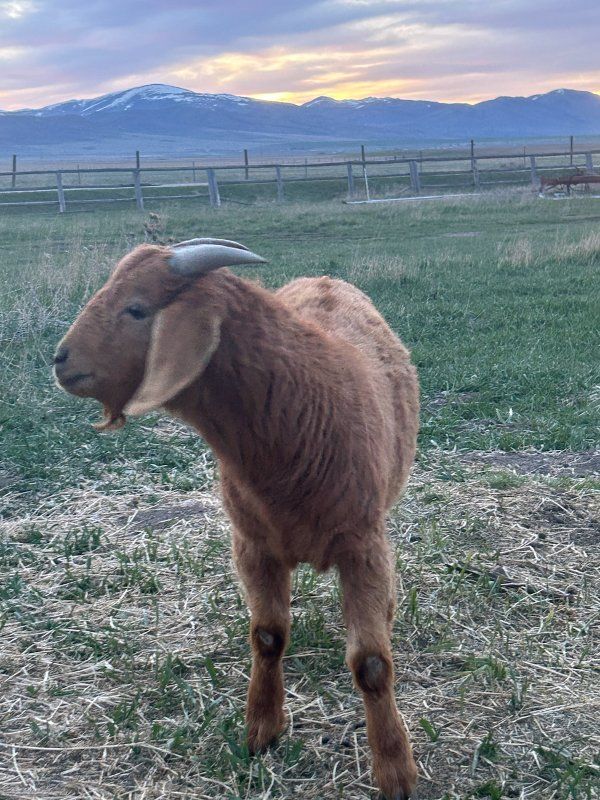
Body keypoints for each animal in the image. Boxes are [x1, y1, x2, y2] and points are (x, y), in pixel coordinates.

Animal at [53, 238, 420, 799]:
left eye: (136, 309)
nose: (60, 360)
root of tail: (326, 280)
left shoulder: (362, 544)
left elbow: (372, 664)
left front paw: (396, 771)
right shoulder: (252, 543)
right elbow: (267, 636)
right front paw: (261, 731)